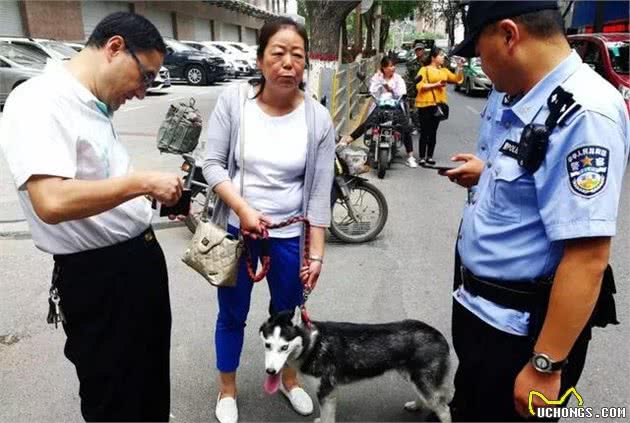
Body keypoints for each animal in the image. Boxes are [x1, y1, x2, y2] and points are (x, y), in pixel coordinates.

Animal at [262, 308, 454, 423]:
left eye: (284, 347)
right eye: (267, 345)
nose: (270, 371)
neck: (312, 344)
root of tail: (439, 336)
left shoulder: (326, 391)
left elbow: (327, 418)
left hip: (423, 380)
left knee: (444, 409)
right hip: (414, 377)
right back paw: (416, 405)